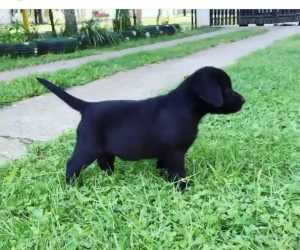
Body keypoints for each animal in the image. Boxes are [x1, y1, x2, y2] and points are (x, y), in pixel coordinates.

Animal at [36, 66, 245, 189]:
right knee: (72, 164)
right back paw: (72, 186)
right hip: (87, 147)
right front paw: (183, 188)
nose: (243, 100)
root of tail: (87, 106)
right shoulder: (176, 153)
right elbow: (179, 173)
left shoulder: (167, 153)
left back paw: (111, 178)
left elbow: (163, 166)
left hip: (104, 150)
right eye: (226, 88)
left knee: (104, 163)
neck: (186, 106)